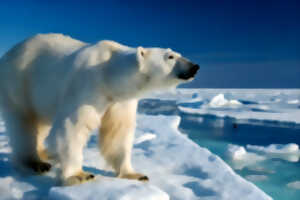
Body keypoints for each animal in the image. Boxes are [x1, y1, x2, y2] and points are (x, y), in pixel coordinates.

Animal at [0, 33, 199, 185]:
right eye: (170, 57)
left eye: (178, 53)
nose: (194, 66)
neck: (108, 73)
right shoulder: (86, 86)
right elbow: (73, 126)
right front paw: (79, 175)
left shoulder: (120, 100)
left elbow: (118, 133)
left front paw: (135, 174)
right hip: (18, 83)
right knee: (23, 124)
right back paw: (35, 162)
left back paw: (46, 153)